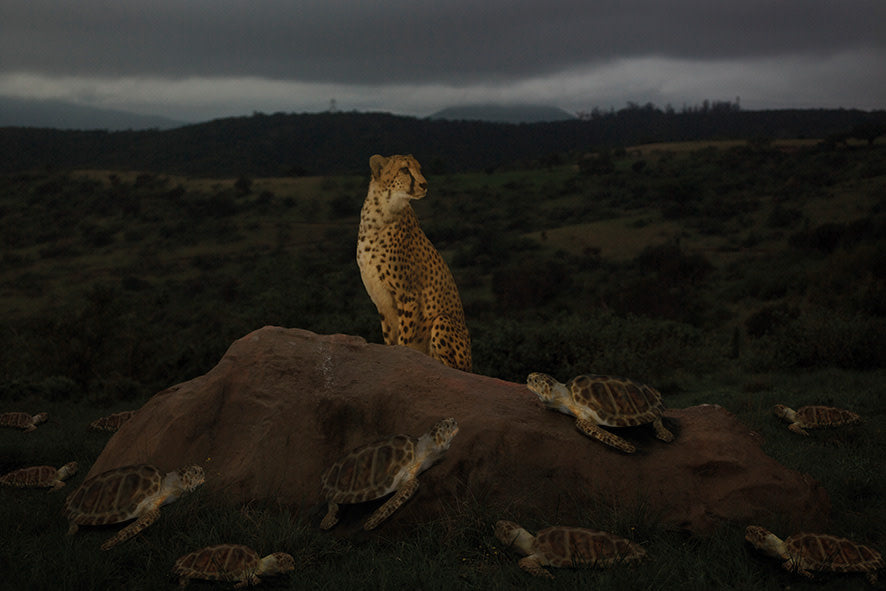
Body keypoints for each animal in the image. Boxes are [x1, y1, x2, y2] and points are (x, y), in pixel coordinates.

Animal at [357, 154, 472, 372]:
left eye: (419, 169)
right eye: (404, 170)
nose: (424, 184)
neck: (380, 211)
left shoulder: (408, 296)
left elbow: (405, 339)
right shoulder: (381, 300)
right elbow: (390, 337)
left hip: (442, 320)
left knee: (452, 366)